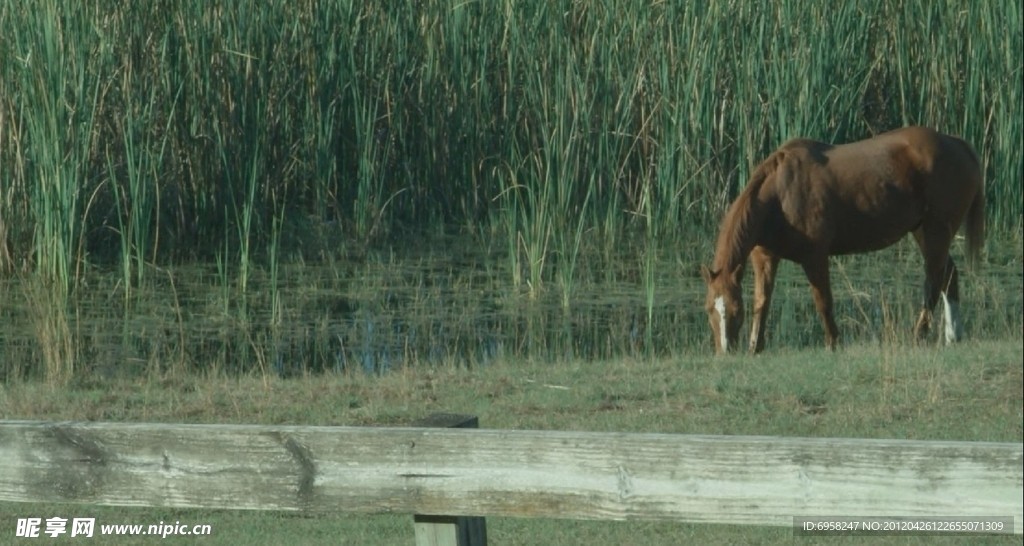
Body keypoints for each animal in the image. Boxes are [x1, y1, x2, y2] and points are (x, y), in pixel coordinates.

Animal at [704, 125, 983, 350]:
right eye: (709, 309)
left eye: (735, 310)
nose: (725, 351)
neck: (780, 196)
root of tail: (957, 143)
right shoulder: (764, 258)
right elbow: (762, 302)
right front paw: (755, 347)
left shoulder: (815, 257)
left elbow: (823, 302)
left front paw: (833, 343)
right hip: (923, 232)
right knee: (948, 276)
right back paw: (953, 336)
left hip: (936, 231)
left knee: (933, 282)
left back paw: (919, 335)